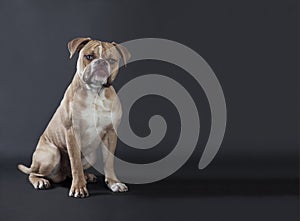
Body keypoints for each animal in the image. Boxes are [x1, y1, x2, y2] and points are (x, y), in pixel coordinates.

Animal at [17, 37, 130, 198]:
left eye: (111, 60)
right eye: (89, 56)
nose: (102, 62)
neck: (96, 92)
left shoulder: (110, 132)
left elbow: (109, 162)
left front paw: (114, 183)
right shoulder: (72, 132)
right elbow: (75, 162)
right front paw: (78, 188)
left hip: (91, 156)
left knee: (70, 172)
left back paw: (86, 176)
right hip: (51, 154)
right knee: (34, 173)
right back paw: (40, 181)